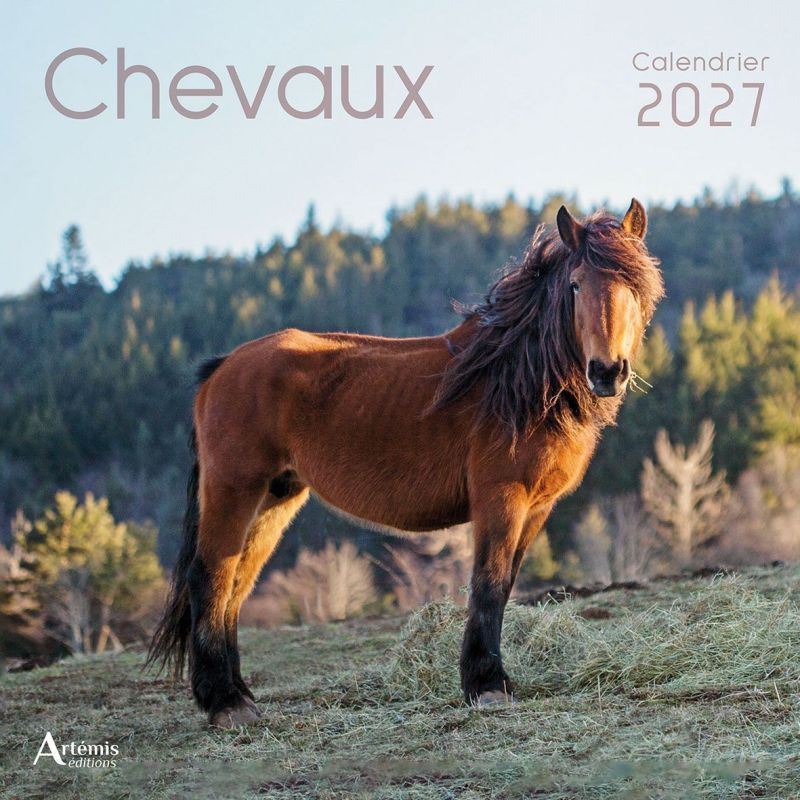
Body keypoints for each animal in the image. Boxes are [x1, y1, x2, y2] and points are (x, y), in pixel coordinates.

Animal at [148, 199, 664, 727]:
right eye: (576, 284)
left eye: (634, 286)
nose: (607, 372)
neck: (514, 382)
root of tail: (222, 366)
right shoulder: (501, 498)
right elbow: (488, 584)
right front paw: (486, 686)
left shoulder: (537, 508)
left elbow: (505, 585)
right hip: (235, 489)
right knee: (210, 579)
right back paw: (224, 703)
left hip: (275, 498)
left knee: (235, 585)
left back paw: (240, 697)